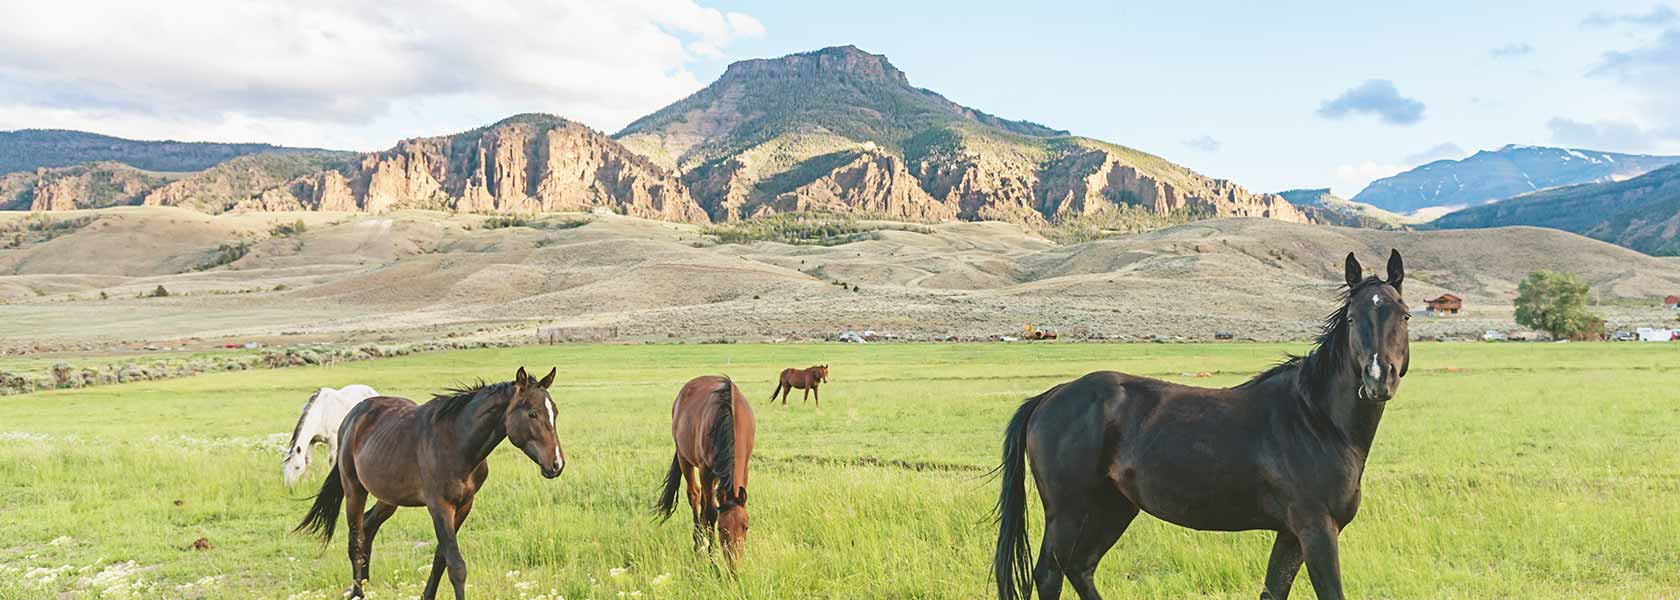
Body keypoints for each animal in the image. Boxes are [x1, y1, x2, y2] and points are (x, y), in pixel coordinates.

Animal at [295, 366, 564, 594]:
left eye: (555, 412)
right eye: (532, 413)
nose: (557, 464)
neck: (456, 442)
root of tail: (352, 417)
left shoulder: (464, 506)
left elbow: (441, 559)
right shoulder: (439, 507)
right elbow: (456, 566)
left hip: (389, 497)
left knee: (369, 525)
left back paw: (366, 583)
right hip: (354, 489)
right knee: (356, 538)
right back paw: (358, 591)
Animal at [655, 373, 762, 564]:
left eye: (746, 527)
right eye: (721, 529)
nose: (734, 565)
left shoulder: (744, 467)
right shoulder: (705, 470)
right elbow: (712, 513)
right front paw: (712, 562)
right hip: (684, 459)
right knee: (695, 496)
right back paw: (698, 544)